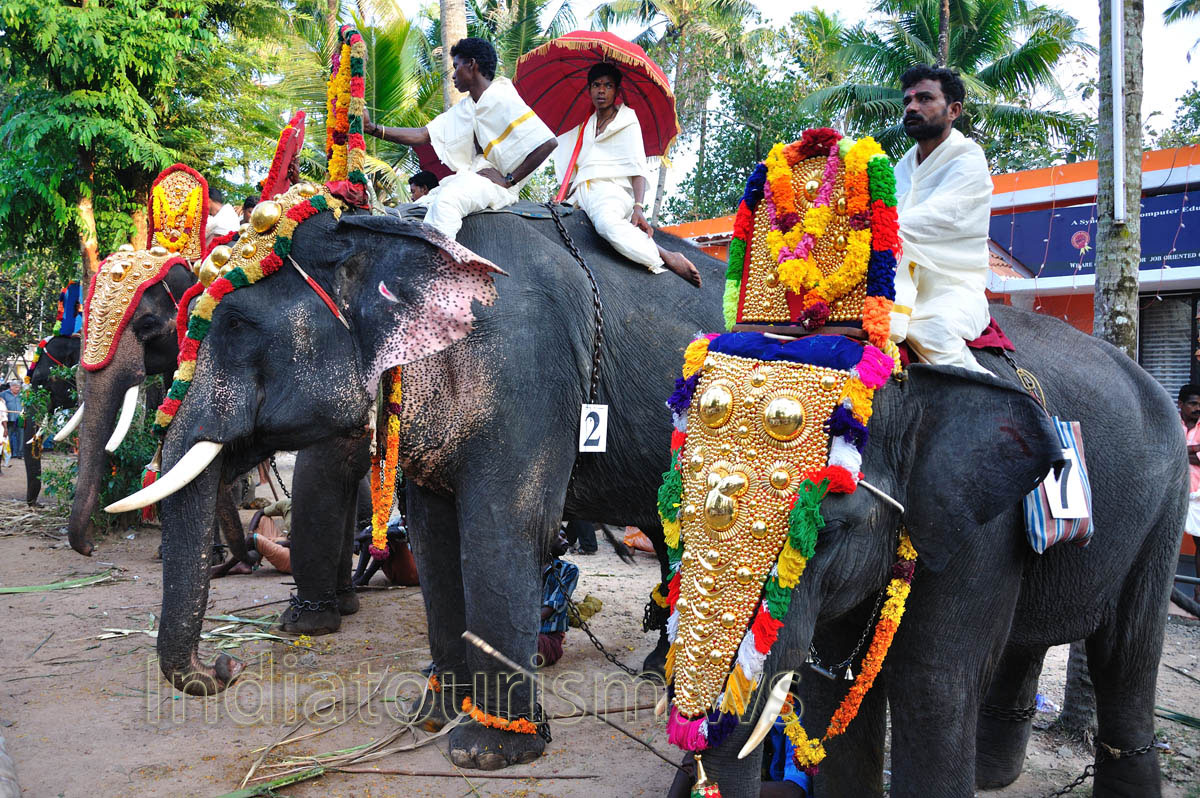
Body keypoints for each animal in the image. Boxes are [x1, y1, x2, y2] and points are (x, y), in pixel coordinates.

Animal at [124, 203, 729, 769]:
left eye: (234, 326)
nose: (226, 666)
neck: (388, 230)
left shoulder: (529, 372)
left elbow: (506, 529)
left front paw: (487, 751)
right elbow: (435, 539)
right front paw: (432, 718)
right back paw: (657, 674)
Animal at [685, 305, 1183, 798]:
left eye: (826, 533)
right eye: (675, 514)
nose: (702, 771)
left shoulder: (982, 528)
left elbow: (932, 684)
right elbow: (830, 683)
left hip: (1165, 515)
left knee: (1126, 652)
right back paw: (992, 777)